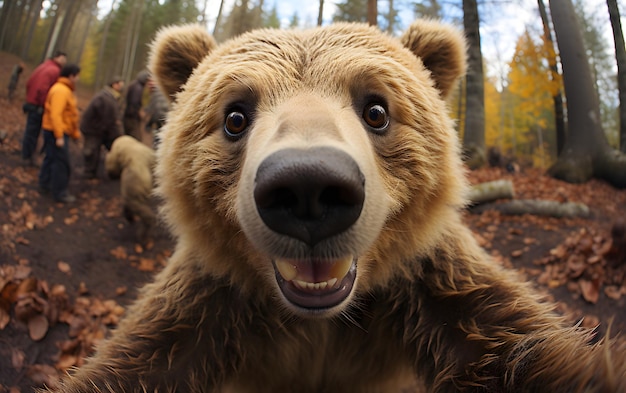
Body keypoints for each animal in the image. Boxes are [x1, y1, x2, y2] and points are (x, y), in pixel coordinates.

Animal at [48, 20, 624, 392]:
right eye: (235, 116)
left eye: (377, 109)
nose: (308, 187)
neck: (321, 323)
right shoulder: (204, 309)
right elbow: (134, 362)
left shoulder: (439, 292)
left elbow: (526, 351)